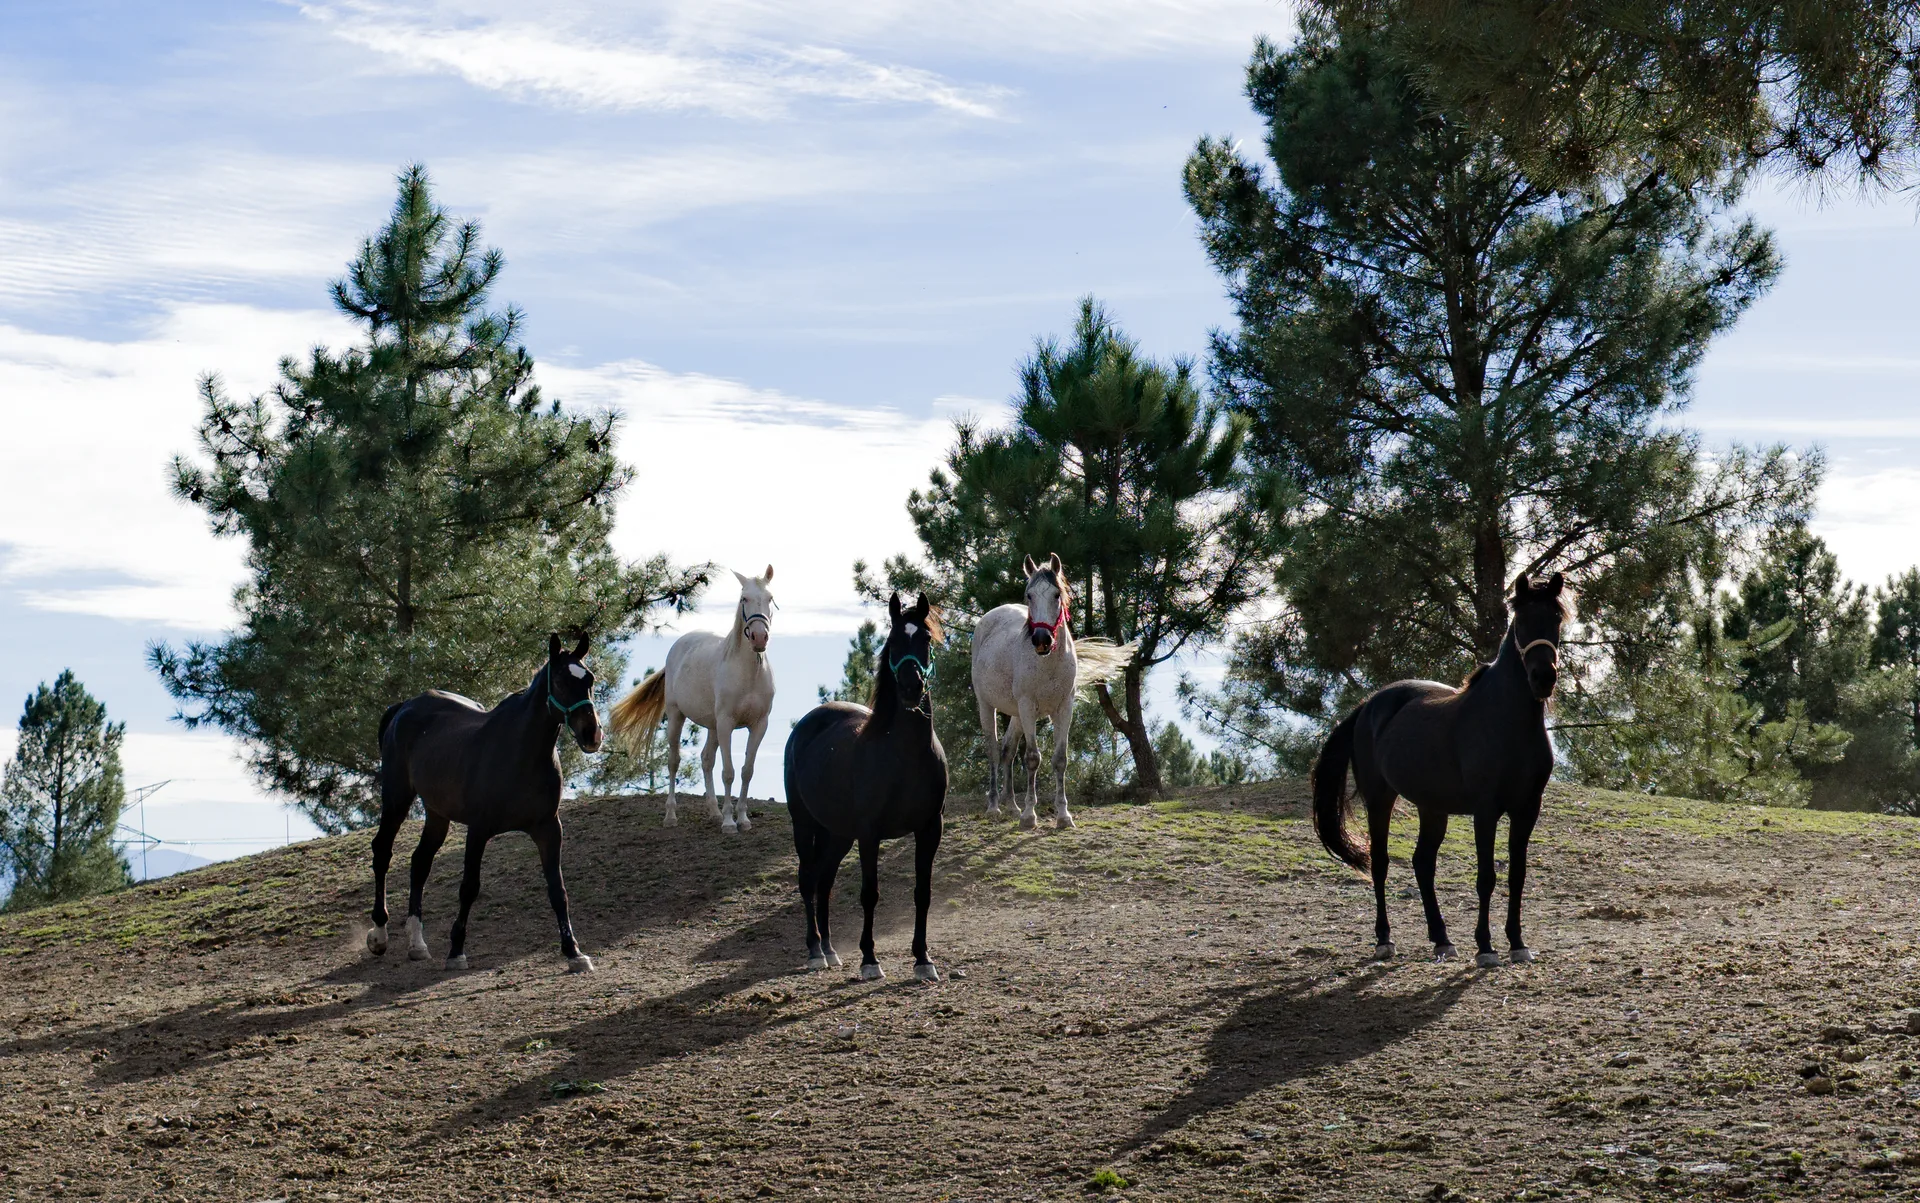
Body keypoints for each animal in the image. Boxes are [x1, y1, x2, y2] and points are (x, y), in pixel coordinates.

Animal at [366, 633, 603, 973]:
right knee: (383, 852)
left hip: (437, 813)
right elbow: (469, 888)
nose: (591, 734)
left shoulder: (548, 829)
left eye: (590, 679)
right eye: (559, 680)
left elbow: (558, 890)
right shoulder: (478, 830)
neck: (520, 754)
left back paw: (417, 943)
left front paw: (573, 951)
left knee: (420, 862)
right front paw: (456, 952)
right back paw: (379, 933)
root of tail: (403, 707)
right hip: (397, 798)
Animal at [609, 567, 776, 833]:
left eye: (769, 599)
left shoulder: (759, 725)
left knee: (706, 760)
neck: (749, 673)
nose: (759, 637)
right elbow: (728, 772)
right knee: (674, 762)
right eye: (744, 599)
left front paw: (742, 819)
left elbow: (746, 771)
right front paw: (729, 823)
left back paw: (714, 812)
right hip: (677, 716)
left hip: (712, 726)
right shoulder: (726, 723)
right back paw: (671, 816)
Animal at [785, 591, 948, 981]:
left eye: (925, 639)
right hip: (804, 824)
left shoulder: (930, 828)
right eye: (893, 642)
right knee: (808, 880)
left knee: (825, 881)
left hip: (839, 833)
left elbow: (923, 892)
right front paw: (870, 960)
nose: (911, 688)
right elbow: (869, 893)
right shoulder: (870, 833)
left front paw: (923, 959)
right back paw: (815, 951)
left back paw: (830, 951)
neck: (905, 757)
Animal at [971, 553, 1134, 829]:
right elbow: (1032, 758)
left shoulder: (1064, 709)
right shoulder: (1028, 707)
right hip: (987, 705)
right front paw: (1029, 815)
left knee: (1007, 751)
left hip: (1015, 714)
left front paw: (1063, 815)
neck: (1048, 664)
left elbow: (1060, 760)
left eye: (1057, 594)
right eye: (1029, 595)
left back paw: (1011, 805)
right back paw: (994, 806)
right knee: (993, 749)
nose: (1041, 639)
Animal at [1310, 572, 1567, 968]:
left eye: (1555, 619)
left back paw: (1442, 939)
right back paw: (1384, 940)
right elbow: (1486, 877)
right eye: (1522, 621)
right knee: (1381, 863)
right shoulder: (1486, 810)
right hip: (1379, 799)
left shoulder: (1527, 809)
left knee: (1423, 863)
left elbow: (1517, 875)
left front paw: (1517, 943)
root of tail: (1368, 705)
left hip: (1432, 807)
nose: (1543, 677)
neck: (1507, 721)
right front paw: (1486, 947)